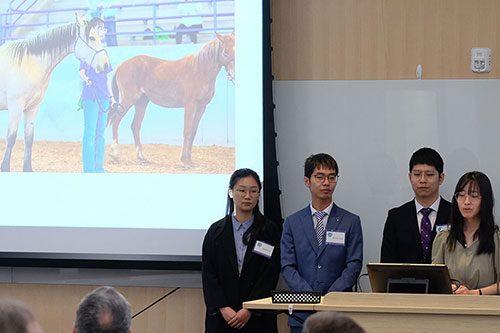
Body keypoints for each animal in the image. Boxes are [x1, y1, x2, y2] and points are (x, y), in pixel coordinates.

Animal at [0, 15, 109, 171]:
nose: (105, 65)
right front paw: (5, 168)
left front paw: (27, 169)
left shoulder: (32, 107)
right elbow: (11, 137)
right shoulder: (16, 106)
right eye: (92, 38)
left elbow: (29, 138)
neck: (29, 63)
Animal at [109, 31, 234, 165]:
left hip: (141, 102)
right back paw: (114, 154)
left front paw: (189, 160)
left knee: (135, 126)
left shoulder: (201, 107)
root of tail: (122, 65)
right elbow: (187, 131)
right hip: (128, 100)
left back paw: (141, 156)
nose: (233, 74)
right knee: (116, 120)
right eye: (225, 52)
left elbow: (193, 132)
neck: (200, 70)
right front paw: (184, 160)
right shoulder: (190, 105)